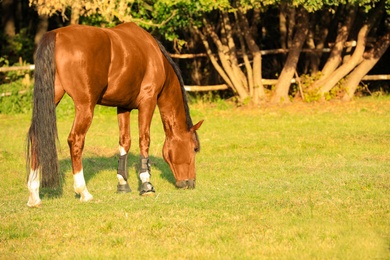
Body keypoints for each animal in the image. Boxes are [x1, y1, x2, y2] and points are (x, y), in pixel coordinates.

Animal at [26, 22, 204, 207]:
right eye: (194, 148)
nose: (191, 182)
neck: (155, 57)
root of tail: (56, 35)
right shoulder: (148, 101)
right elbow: (144, 140)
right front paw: (146, 184)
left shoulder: (123, 106)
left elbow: (125, 142)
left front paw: (123, 184)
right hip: (85, 106)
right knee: (75, 140)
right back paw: (83, 192)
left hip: (53, 97)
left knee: (36, 136)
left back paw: (34, 195)